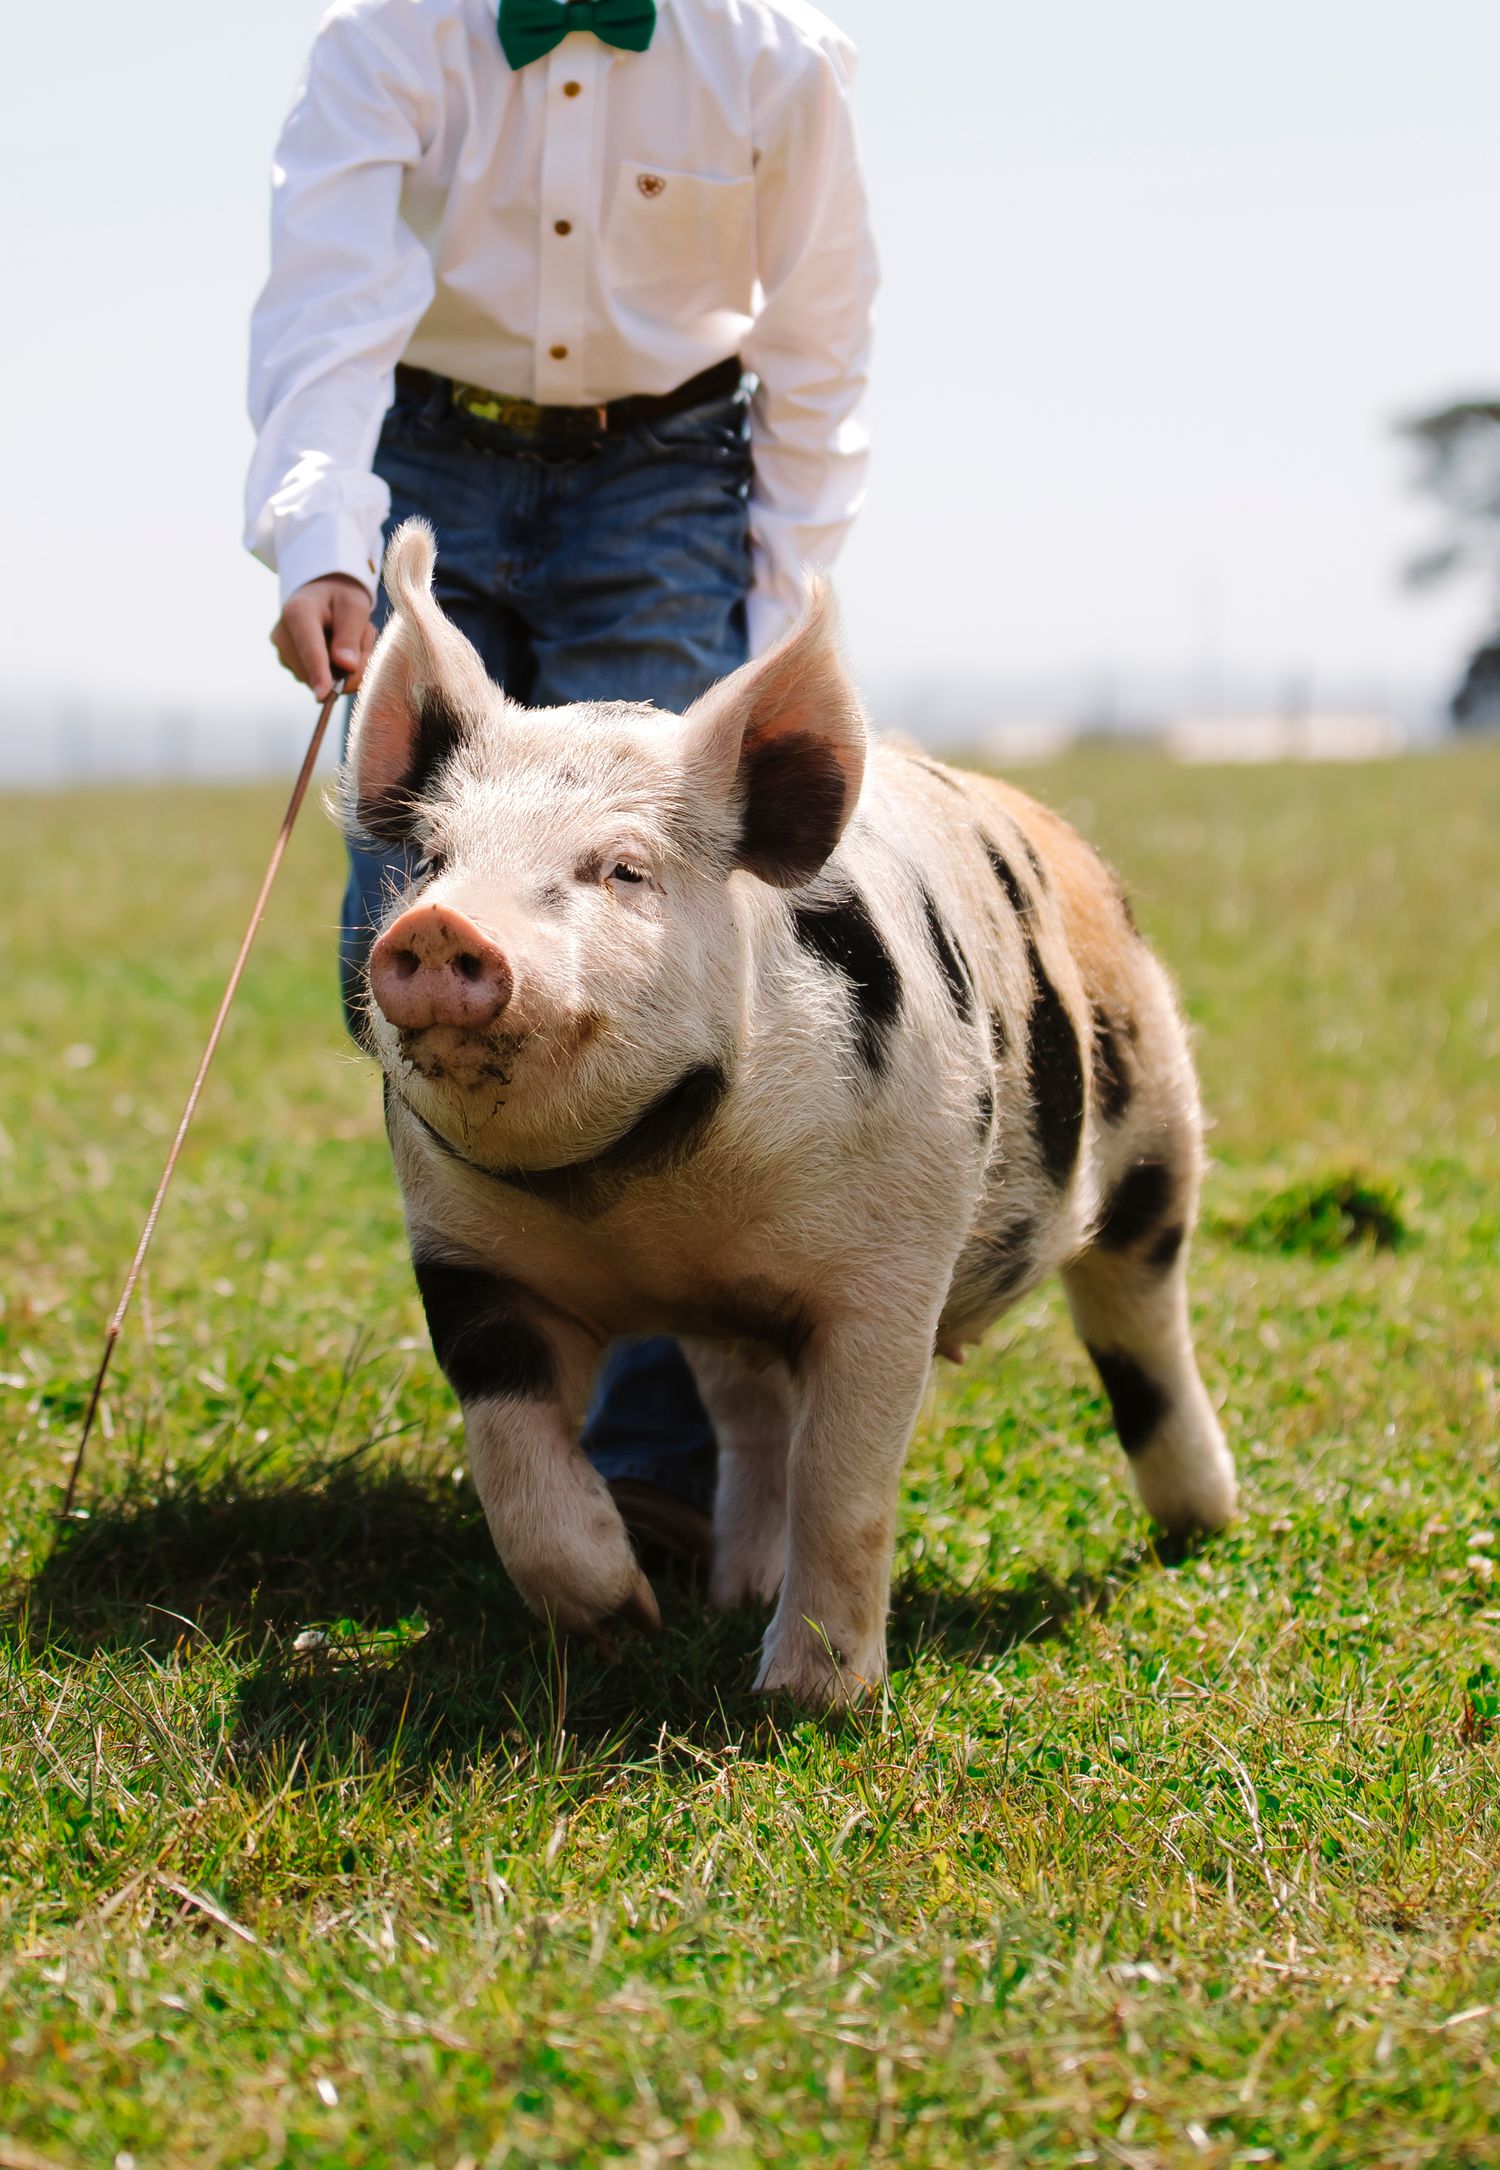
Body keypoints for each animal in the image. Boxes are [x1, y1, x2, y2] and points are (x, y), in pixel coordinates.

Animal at [341, 519, 1236, 1707]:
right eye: (434, 860)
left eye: (623, 870)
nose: (439, 928)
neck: (645, 1203)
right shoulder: (464, 1258)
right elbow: (513, 1461)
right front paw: (623, 1620)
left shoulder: (890, 1268)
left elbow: (844, 1478)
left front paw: (806, 1701)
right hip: (737, 1329)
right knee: (750, 1419)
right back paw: (730, 1589)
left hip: (1157, 1141)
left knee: (1143, 1329)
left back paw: (1203, 1526)